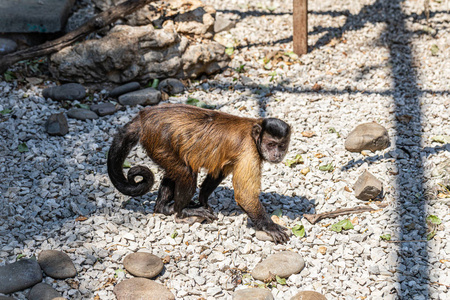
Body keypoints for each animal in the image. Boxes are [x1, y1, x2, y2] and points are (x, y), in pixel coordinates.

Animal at [108, 103, 292, 244]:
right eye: (270, 144)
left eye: (281, 146)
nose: (277, 154)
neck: (254, 134)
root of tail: (144, 117)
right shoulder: (249, 150)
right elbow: (244, 195)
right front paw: (269, 226)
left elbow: (218, 172)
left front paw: (203, 200)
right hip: (159, 140)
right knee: (186, 172)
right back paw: (181, 210)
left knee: (174, 171)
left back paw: (163, 207)